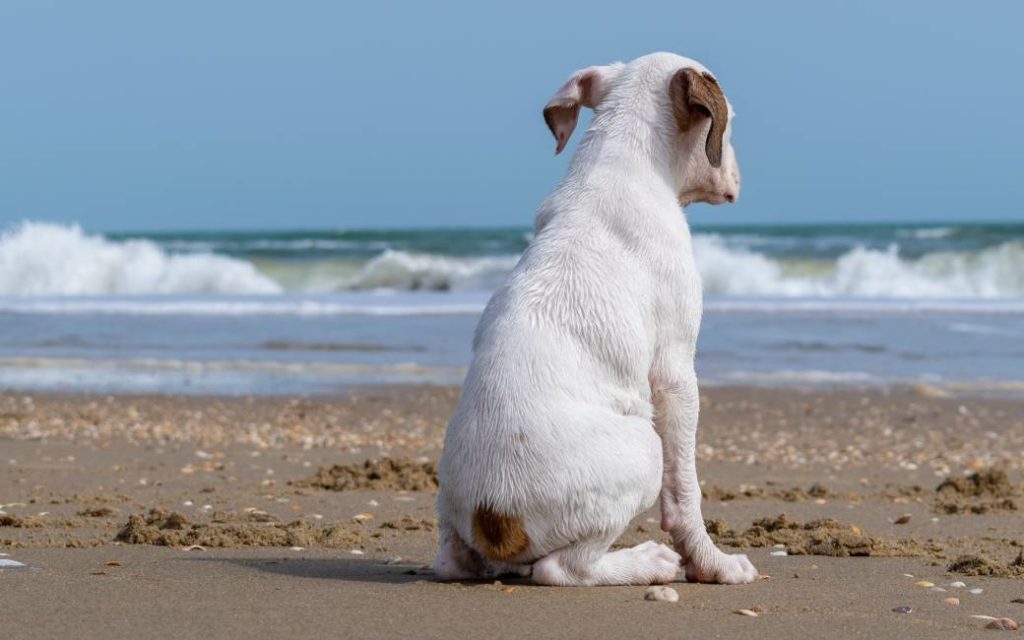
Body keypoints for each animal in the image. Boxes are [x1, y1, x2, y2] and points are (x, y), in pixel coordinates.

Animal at [428, 52, 757, 585]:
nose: (738, 178)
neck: (620, 158)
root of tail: (493, 516)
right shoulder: (675, 373)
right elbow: (686, 492)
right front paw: (715, 564)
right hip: (645, 448)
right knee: (562, 569)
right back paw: (646, 562)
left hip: (451, 522)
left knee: (456, 561)